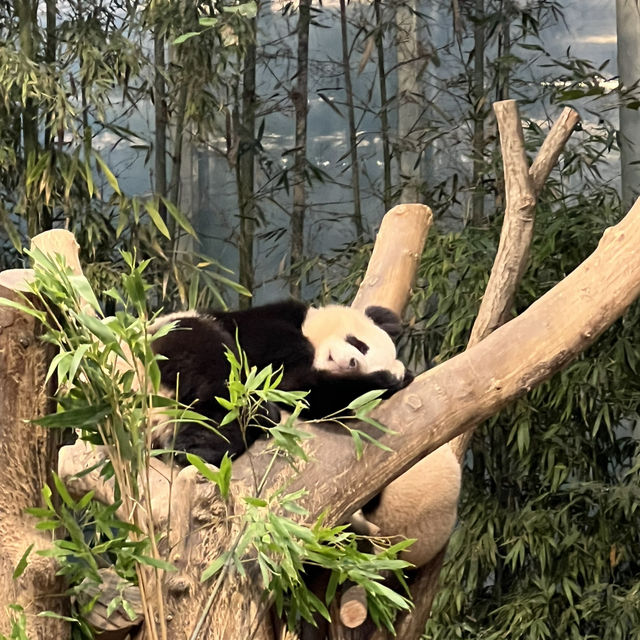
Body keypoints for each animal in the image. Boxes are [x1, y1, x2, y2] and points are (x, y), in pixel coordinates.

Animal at [148, 300, 412, 464]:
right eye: (361, 345)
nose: (352, 363)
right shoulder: (264, 326)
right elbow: (287, 376)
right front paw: (388, 380)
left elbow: (304, 390)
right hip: (174, 336)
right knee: (217, 370)